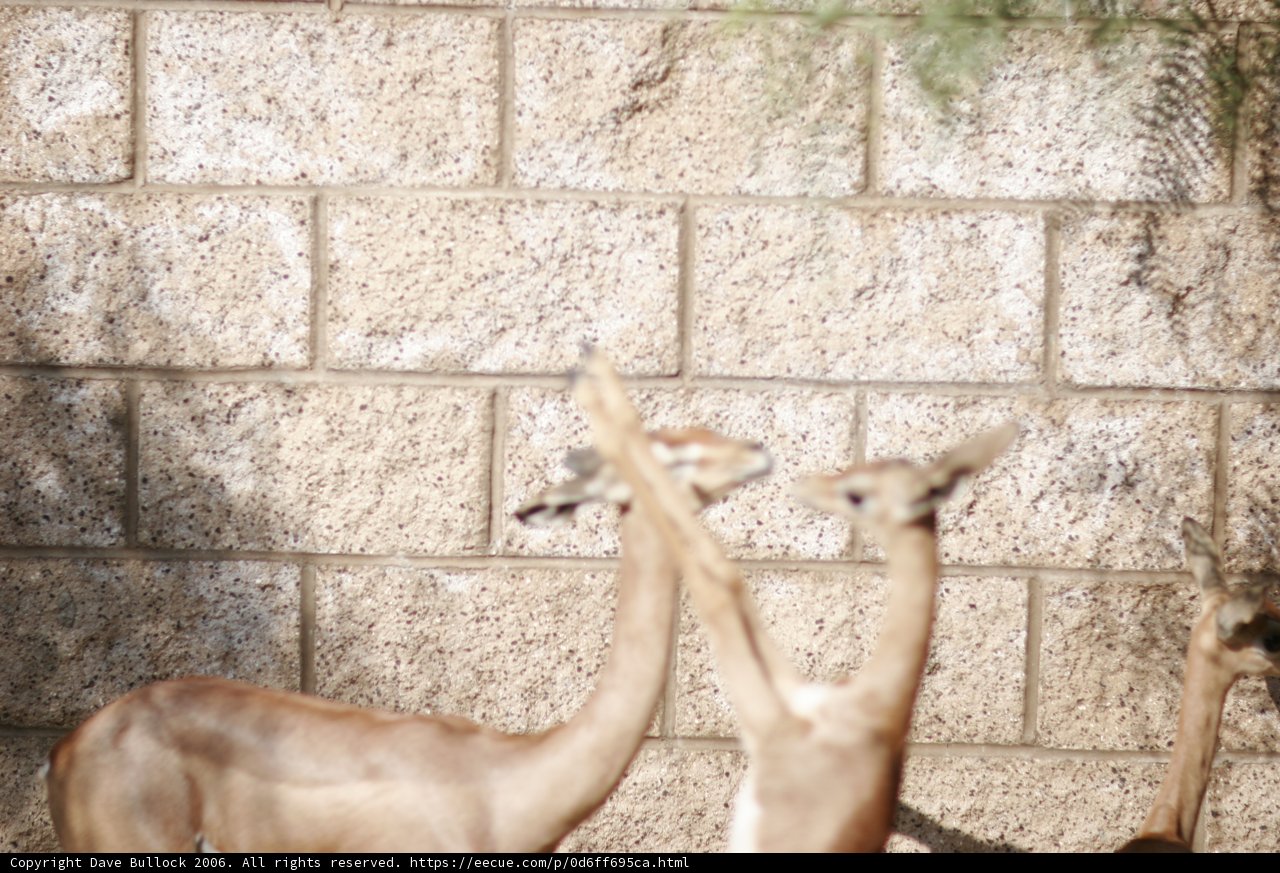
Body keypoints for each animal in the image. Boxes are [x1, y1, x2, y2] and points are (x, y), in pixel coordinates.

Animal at [571, 348, 1016, 852]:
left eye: (857, 495)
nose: (806, 484)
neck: (868, 712)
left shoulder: (765, 718)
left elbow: (717, 581)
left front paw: (595, 388)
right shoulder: (788, 688)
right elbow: (727, 576)